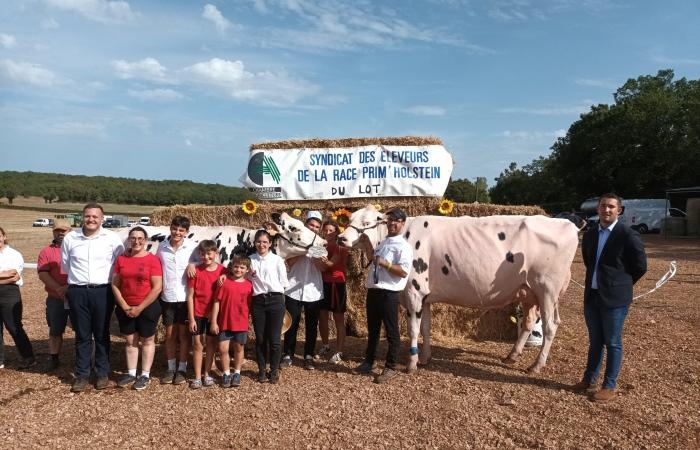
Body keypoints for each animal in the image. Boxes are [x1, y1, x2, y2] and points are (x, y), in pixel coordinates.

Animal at [340, 206, 580, 374]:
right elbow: (426, 328)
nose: (342, 238)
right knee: (529, 322)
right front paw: (425, 358)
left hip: (547, 289)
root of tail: (568, 224)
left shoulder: (414, 292)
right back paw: (512, 356)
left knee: (550, 326)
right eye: (349, 220)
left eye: (367, 222)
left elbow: (414, 330)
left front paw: (412, 363)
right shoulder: (425, 297)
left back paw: (536, 365)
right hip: (528, 292)